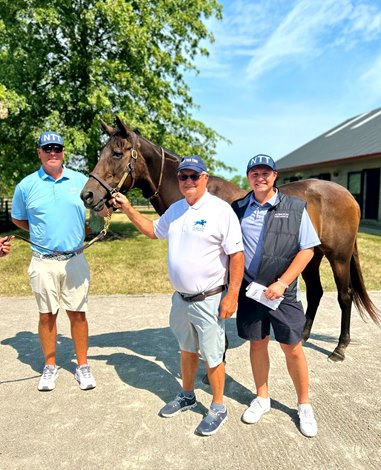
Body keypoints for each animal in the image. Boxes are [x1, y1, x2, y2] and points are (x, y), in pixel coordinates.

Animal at [80, 115, 378, 362]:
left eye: (117, 153)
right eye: (102, 152)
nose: (88, 195)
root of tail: (347, 195)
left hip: (338, 257)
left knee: (344, 296)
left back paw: (339, 349)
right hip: (311, 258)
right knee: (316, 293)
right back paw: (302, 338)